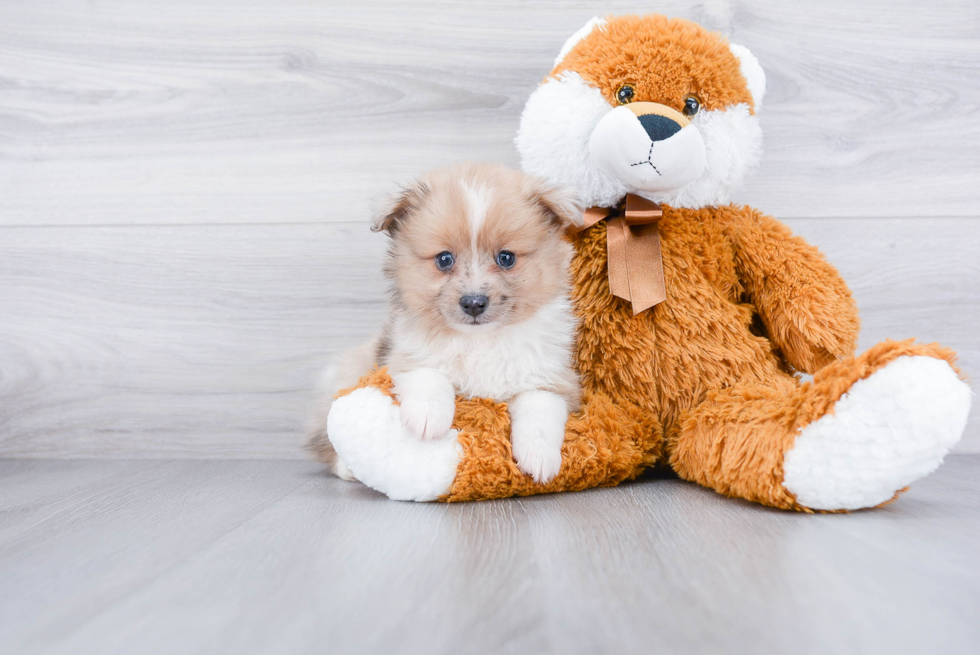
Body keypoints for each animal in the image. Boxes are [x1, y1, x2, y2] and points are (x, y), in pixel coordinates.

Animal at [306, 162, 580, 484]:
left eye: (506, 258)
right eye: (444, 259)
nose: (473, 303)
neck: (480, 341)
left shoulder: (552, 376)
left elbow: (540, 408)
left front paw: (539, 458)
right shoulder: (405, 354)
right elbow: (429, 374)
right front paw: (428, 418)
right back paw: (349, 469)